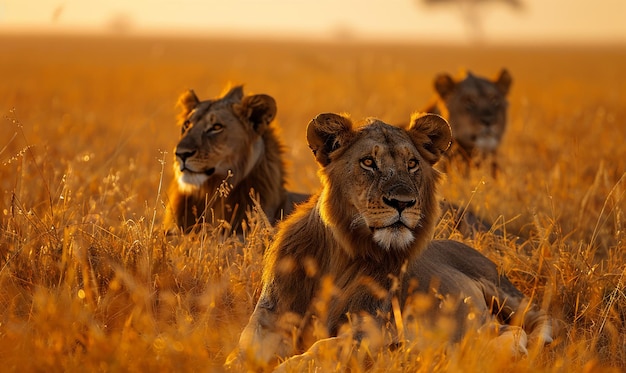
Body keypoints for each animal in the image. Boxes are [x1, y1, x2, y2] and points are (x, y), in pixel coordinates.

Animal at [227, 110, 548, 370]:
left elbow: (319, 350)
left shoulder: (369, 330)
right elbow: (242, 352)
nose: (403, 202)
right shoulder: (268, 320)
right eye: (368, 162)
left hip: (501, 288)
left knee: (538, 321)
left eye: (412, 163)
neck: (339, 258)